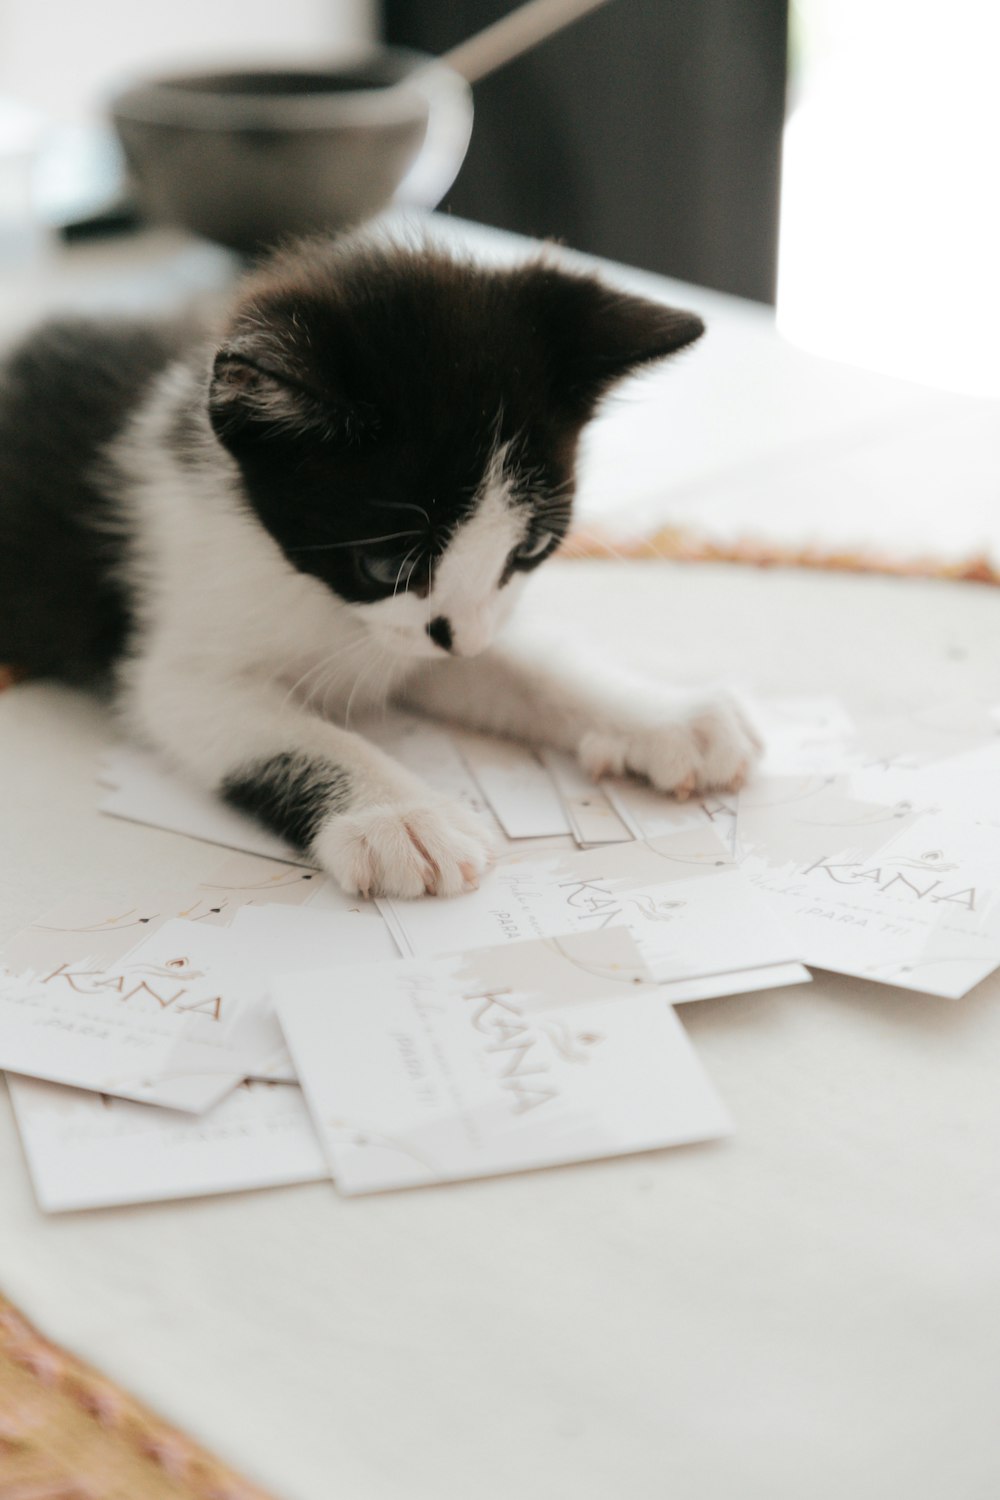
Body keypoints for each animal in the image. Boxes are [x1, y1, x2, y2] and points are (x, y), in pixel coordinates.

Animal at [0, 228, 758, 894]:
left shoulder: (434, 634)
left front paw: (664, 716)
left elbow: (525, 667)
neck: (312, 591)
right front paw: (398, 815)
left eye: (529, 550)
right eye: (386, 564)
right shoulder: (176, 661)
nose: (461, 640)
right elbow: (279, 730)